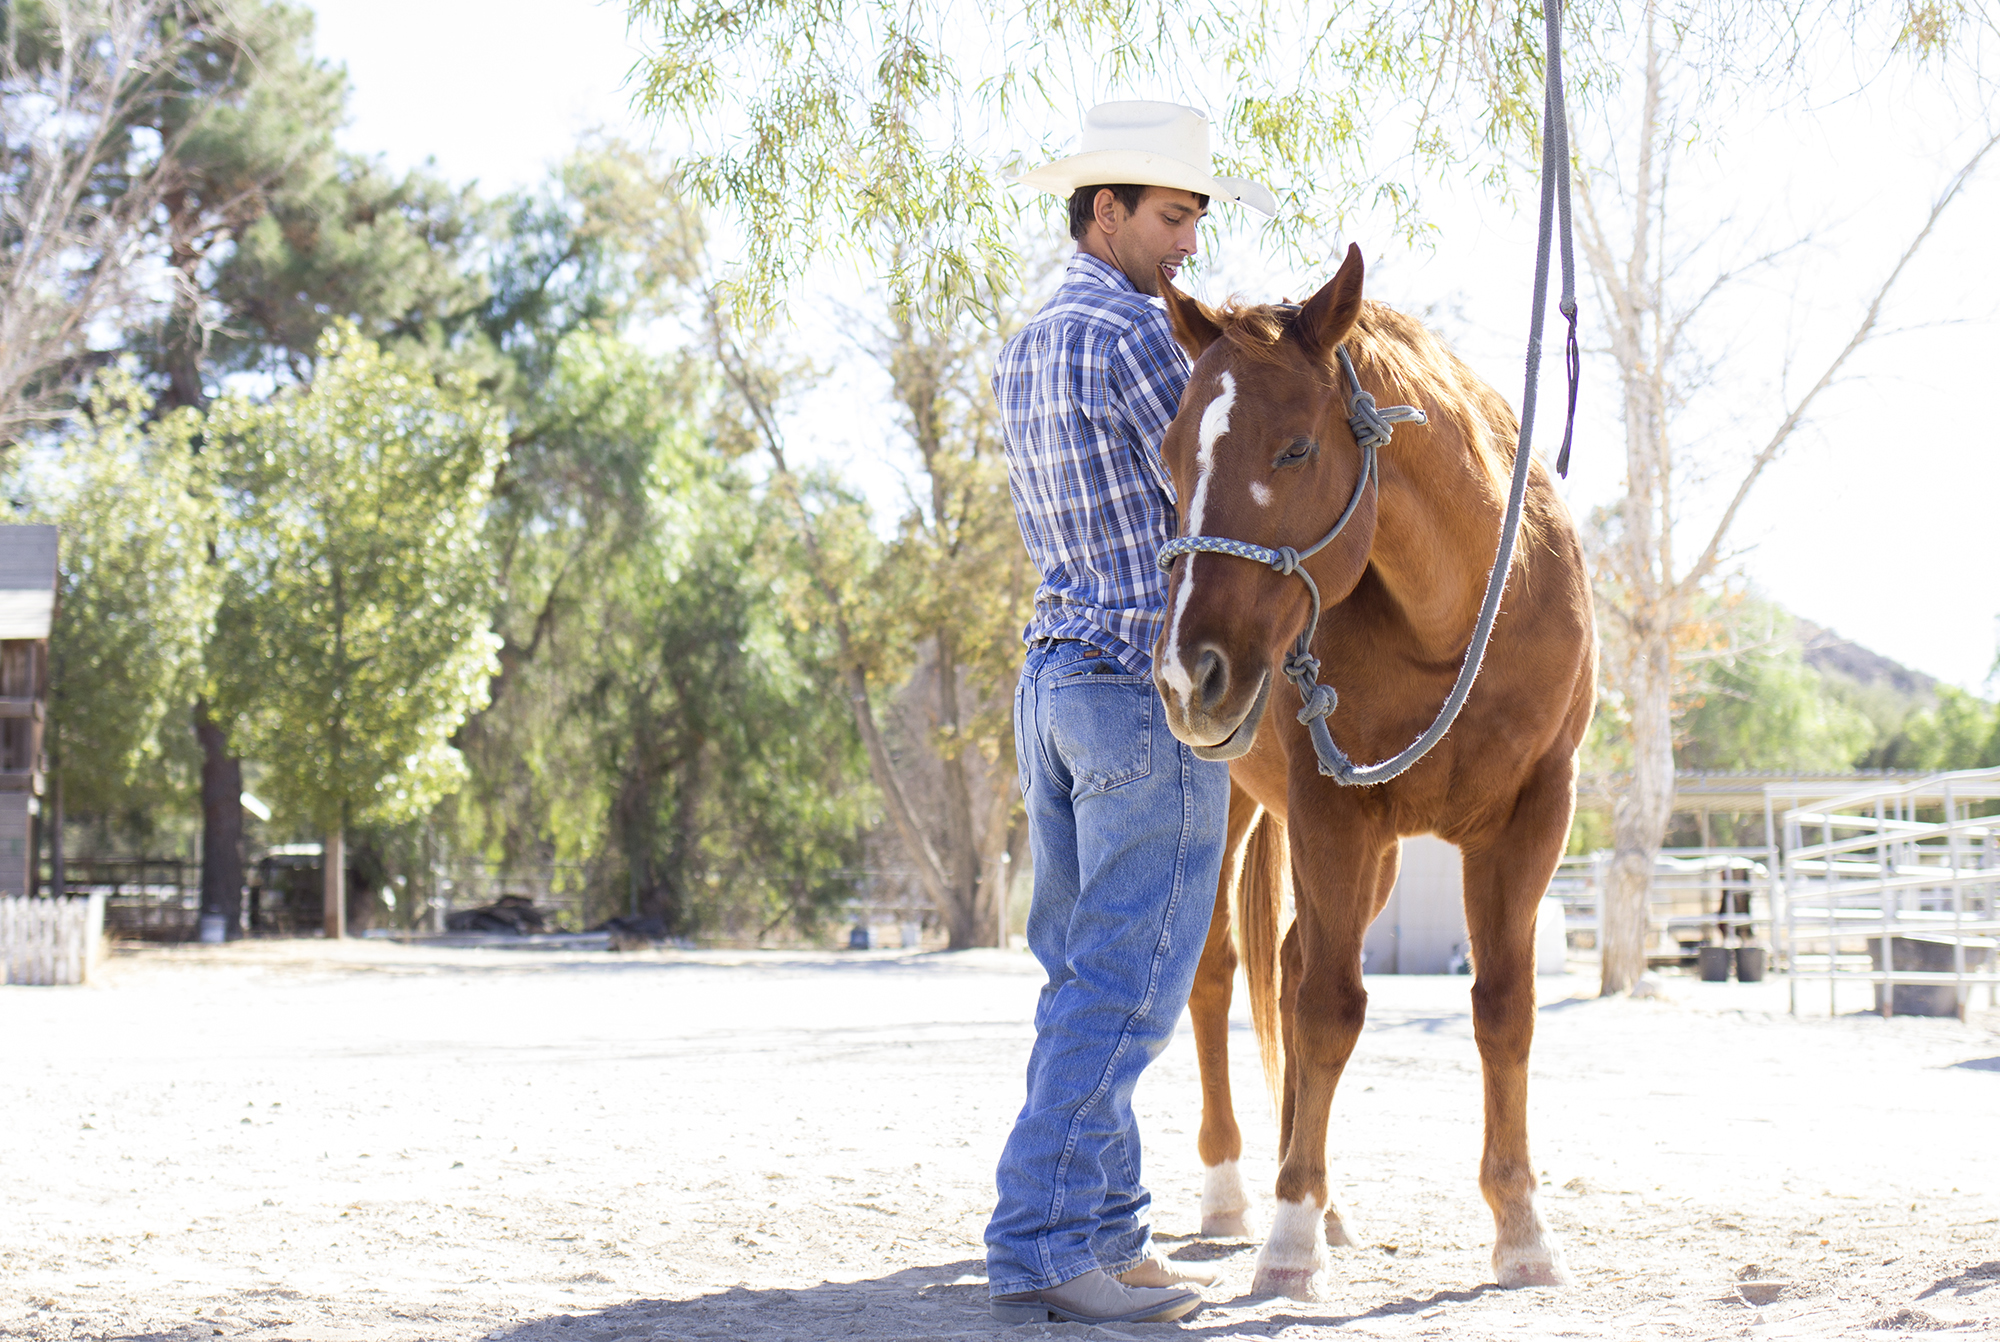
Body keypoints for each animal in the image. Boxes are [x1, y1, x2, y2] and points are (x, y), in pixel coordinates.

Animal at [1160, 244, 1592, 1304]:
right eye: (1169, 456)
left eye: (1293, 452)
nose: (1189, 675)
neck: (1459, 616)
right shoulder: (1332, 811)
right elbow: (1329, 1010)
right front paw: (1287, 1240)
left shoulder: (1535, 813)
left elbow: (1504, 1008)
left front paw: (1522, 1227)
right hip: (1233, 813)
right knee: (1222, 975)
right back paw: (1239, 1191)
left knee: (1286, 962)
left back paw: (1320, 1195)